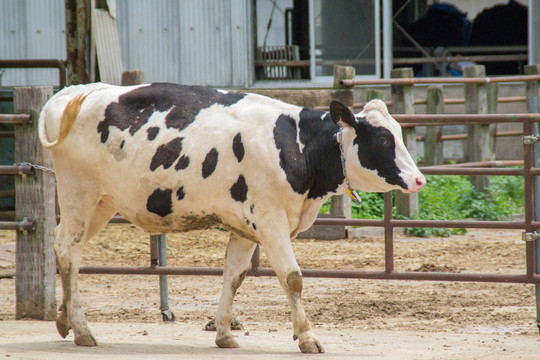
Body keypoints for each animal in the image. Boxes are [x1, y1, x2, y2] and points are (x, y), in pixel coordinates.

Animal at [39, 82, 426, 354]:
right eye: (382, 139)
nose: (420, 179)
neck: (296, 144)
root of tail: (78, 92)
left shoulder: (246, 227)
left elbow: (234, 276)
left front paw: (224, 332)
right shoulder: (271, 220)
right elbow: (293, 278)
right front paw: (307, 337)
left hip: (102, 203)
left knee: (61, 245)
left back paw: (64, 320)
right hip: (79, 194)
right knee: (70, 252)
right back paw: (83, 330)